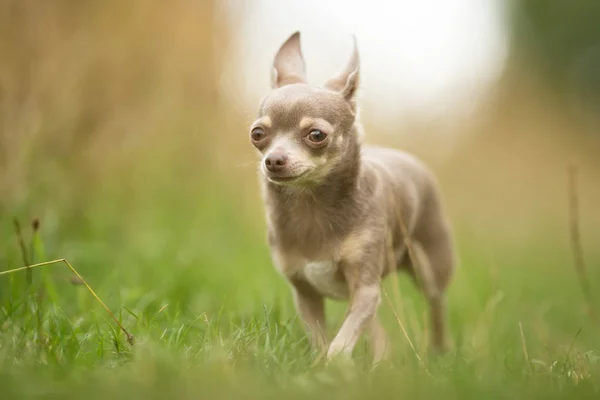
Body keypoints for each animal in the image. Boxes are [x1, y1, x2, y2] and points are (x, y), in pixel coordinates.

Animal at [248, 32, 454, 366]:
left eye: (316, 135)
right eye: (257, 134)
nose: (274, 160)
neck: (311, 207)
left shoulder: (365, 289)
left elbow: (341, 342)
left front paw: (334, 366)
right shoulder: (305, 292)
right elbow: (322, 339)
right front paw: (320, 365)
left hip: (430, 269)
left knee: (437, 305)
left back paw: (439, 351)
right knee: (378, 330)